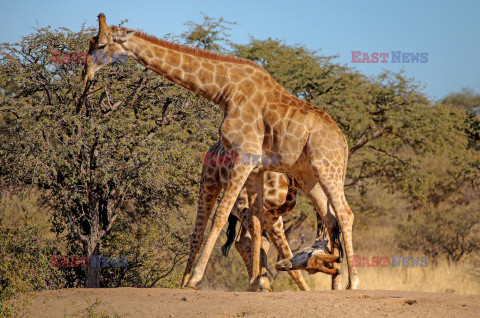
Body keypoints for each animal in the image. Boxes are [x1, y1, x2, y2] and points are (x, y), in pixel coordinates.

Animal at [181, 140, 342, 292]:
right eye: (311, 257)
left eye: (314, 269)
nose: (283, 266)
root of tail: (216, 145)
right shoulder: (243, 203)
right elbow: (260, 239)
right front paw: (258, 282)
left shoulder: (272, 216)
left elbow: (279, 248)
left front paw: (262, 283)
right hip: (209, 182)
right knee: (199, 234)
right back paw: (188, 282)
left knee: (241, 240)